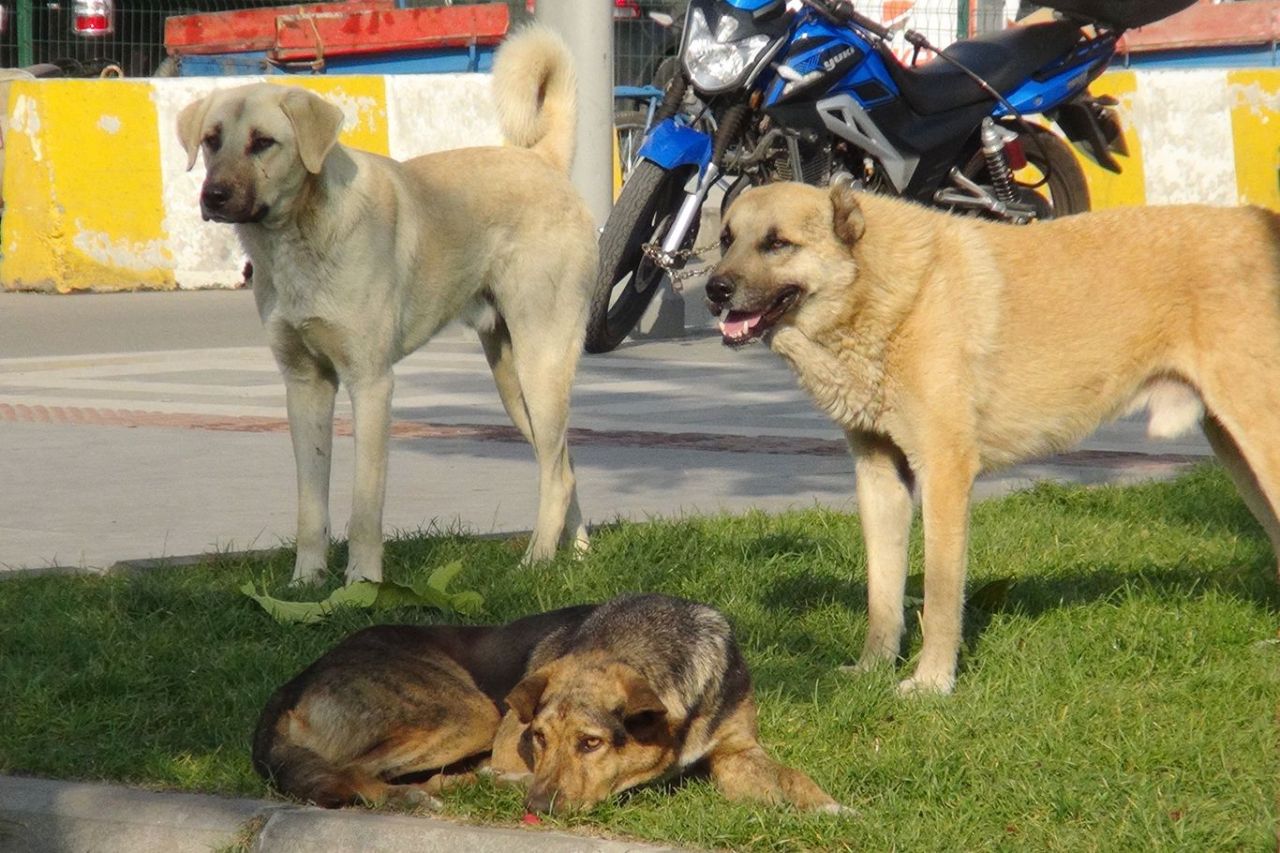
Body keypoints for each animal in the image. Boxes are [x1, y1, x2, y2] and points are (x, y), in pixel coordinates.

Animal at [175, 28, 593, 584]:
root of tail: (543, 160)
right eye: (211, 139)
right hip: (513, 381)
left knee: (557, 471)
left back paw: (536, 561)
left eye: (263, 142)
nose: (214, 196)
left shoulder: (371, 384)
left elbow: (364, 506)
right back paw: (580, 555)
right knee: (563, 463)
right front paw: (306, 581)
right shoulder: (305, 386)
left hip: (540, 363)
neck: (299, 236)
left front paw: (363, 583)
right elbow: (311, 505)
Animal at [253, 591, 844, 809]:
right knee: (349, 772)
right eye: (537, 738)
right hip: (471, 713)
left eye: (592, 743)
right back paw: (415, 800)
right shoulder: (509, 740)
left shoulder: (738, 751)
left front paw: (832, 809)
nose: (537, 810)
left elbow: (795, 778)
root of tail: (295, 680)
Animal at [711, 179, 1280, 691]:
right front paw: (873, 670)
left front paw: (931, 684)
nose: (715, 290)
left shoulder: (944, 474)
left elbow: (941, 596)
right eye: (725, 239)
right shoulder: (880, 478)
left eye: (777, 243)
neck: (883, 290)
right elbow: (883, 593)